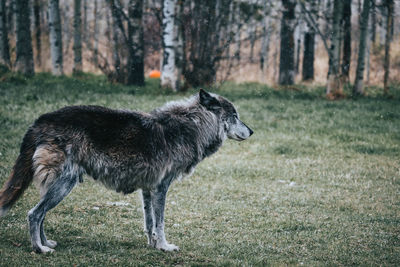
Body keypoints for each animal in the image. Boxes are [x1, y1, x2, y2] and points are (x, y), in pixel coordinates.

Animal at [0, 89, 253, 253]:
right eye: (235, 116)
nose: (252, 131)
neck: (191, 126)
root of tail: (40, 121)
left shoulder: (147, 190)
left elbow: (150, 223)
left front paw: (153, 246)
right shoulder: (161, 188)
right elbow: (161, 223)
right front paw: (165, 247)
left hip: (58, 186)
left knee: (41, 214)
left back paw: (47, 243)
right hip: (64, 185)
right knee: (34, 214)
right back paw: (40, 249)